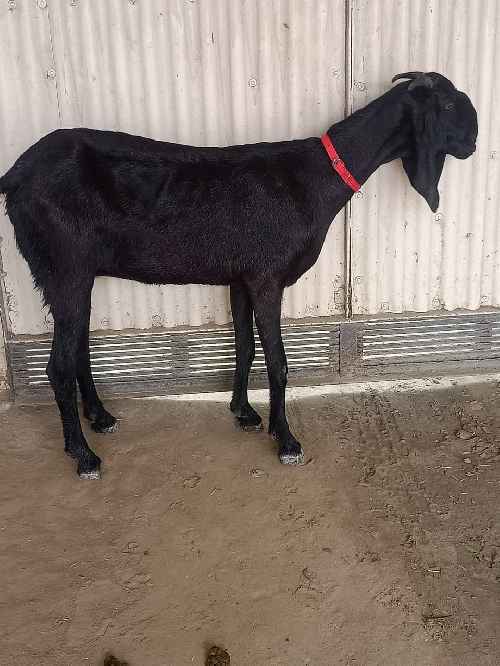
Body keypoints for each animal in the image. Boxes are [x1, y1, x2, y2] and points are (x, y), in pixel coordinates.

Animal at [0, 71, 477, 479]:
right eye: (448, 104)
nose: (473, 141)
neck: (316, 177)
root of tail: (15, 175)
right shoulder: (267, 277)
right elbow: (278, 361)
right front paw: (285, 440)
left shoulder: (241, 277)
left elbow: (245, 346)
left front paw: (243, 411)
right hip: (63, 267)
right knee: (57, 365)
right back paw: (83, 455)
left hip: (74, 274)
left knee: (78, 347)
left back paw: (100, 417)